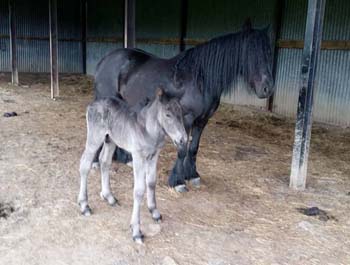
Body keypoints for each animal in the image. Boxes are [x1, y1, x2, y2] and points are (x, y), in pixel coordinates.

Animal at [94, 20, 274, 190]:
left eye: (269, 53)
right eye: (250, 52)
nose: (267, 88)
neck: (199, 79)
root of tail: (106, 59)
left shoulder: (202, 120)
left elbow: (193, 148)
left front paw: (192, 175)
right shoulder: (186, 118)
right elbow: (183, 148)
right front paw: (177, 181)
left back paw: (125, 159)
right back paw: (97, 161)